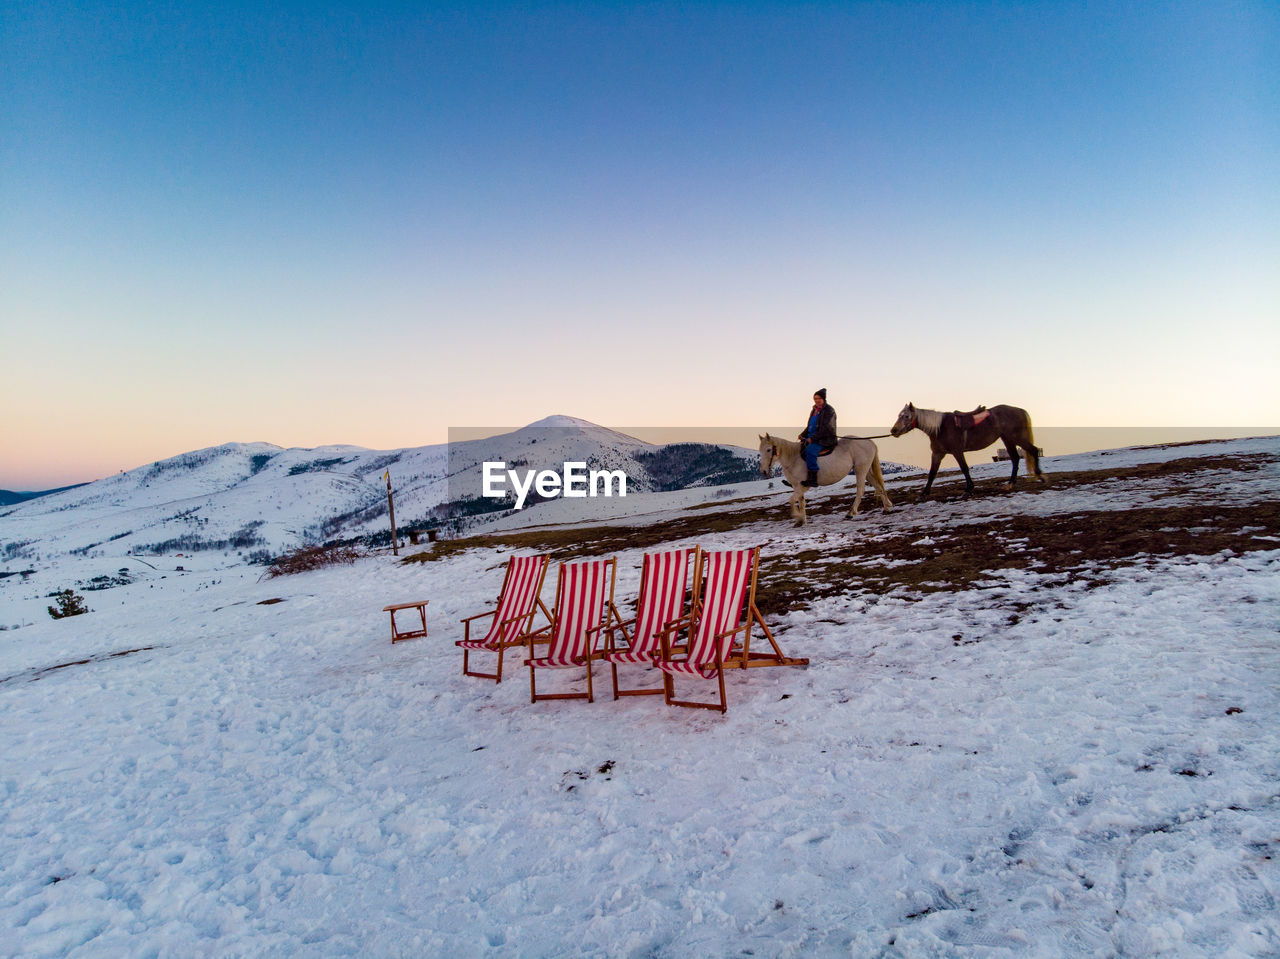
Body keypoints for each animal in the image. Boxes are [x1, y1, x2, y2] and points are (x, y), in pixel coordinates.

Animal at [757, 432, 890, 524]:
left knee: (860, 490)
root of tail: (869, 442)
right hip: (866, 471)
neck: (793, 458)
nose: (763, 471)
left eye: (768, 449)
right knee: (878, 486)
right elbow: (801, 502)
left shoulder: (801, 486)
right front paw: (802, 520)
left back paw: (851, 513)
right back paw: (887, 507)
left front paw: (797, 516)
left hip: (860, 470)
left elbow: (791, 500)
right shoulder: (796, 486)